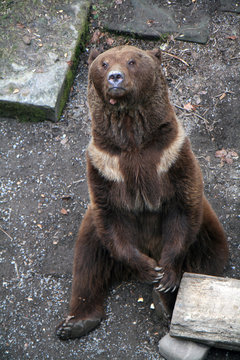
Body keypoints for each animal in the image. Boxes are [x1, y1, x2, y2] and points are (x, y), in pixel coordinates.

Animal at [56, 45, 229, 340]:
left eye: (132, 61)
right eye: (104, 63)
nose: (115, 77)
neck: (132, 139)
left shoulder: (172, 156)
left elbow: (182, 209)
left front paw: (166, 276)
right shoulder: (103, 166)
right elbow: (110, 217)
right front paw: (149, 270)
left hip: (207, 229)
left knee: (209, 261)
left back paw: (165, 304)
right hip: (92, 228)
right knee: (87, 259)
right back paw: (76, 322)